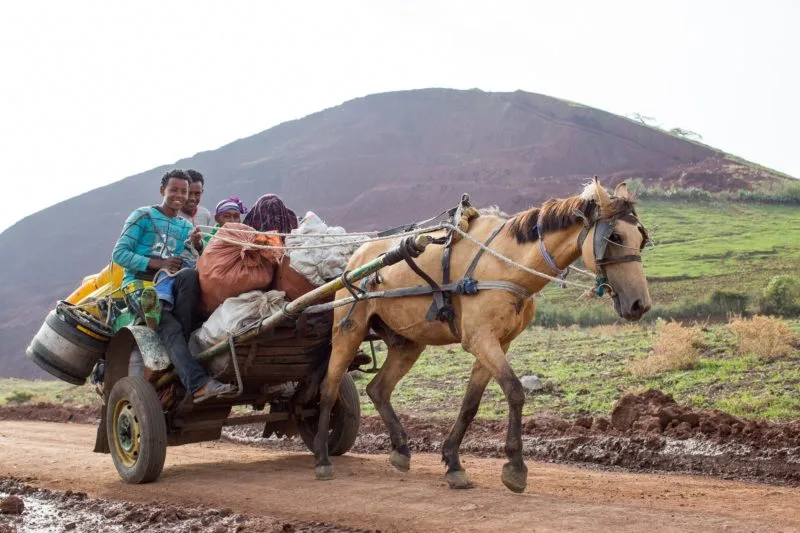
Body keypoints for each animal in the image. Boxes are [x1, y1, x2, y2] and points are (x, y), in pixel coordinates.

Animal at [312, 178, 652, 493]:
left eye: (641, 238)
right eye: (615, 236)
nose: (640, 305)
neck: (505, 261)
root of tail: (356, 259)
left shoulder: (498, 342)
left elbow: (470, 404)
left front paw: (453, 462)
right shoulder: (479, 339)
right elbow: (514, 390)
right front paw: (515, 467)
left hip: (408, 342)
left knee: (378, 389)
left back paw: (401, 449)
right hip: (348, 330)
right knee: (329, 388)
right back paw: (322, 457)